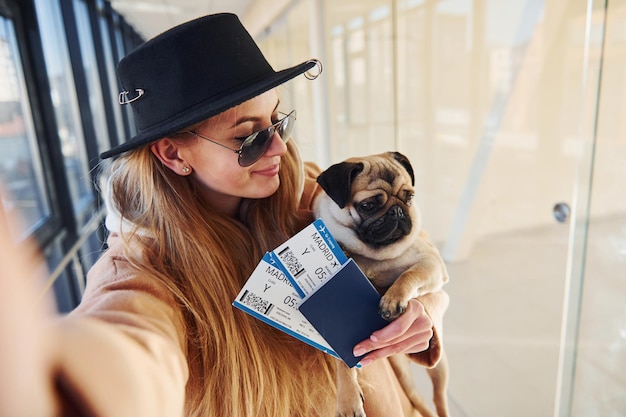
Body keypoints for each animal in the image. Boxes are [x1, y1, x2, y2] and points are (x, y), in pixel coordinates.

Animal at [312, 151, 448, 416]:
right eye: (368, 206)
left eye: (409, 197)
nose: (397, 211)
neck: (373, 254)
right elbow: (343, 359)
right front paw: (348, 400)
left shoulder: (431, 264)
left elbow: (408, 275)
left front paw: (393, 299)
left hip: (439, 367)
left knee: (438, 398)